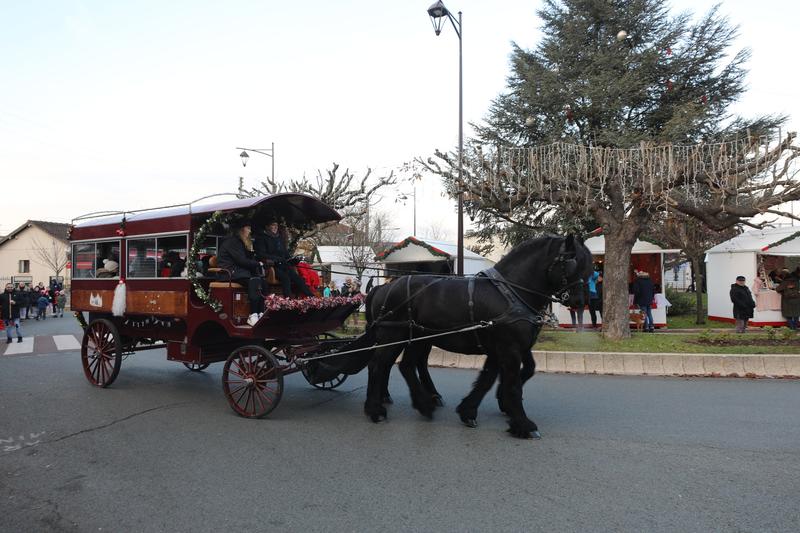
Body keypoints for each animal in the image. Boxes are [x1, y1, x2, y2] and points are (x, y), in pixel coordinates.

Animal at [360, 235, 592, 438]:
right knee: (379, 364)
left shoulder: (503, 348)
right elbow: (513, 384)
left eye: (588, 267)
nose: (579, 301)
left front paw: (470, 410)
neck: (511, 293)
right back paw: (376, 409)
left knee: (405, 365)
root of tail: (386, 287)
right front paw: (523, 424)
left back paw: (423, 404)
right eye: (572, 262)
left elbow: (489, 378)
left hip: (417, 338)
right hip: (394, 334)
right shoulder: (510, 347)